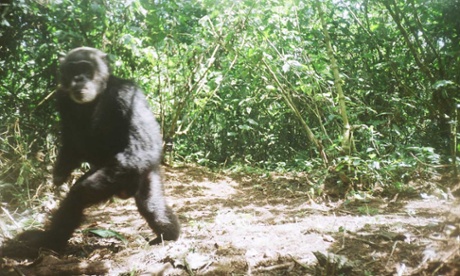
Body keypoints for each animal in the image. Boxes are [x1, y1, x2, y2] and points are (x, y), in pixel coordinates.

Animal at [11, 47, 180, 254]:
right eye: (72, 70)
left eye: (85, 68)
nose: (79, 78)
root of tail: (124, 192)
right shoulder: (62, 99)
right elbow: (71, 140)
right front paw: (59, 173)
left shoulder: (128, 95)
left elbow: (145, 145)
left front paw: (81, 187)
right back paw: (48, 241)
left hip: (136, 174)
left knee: (148, 204)